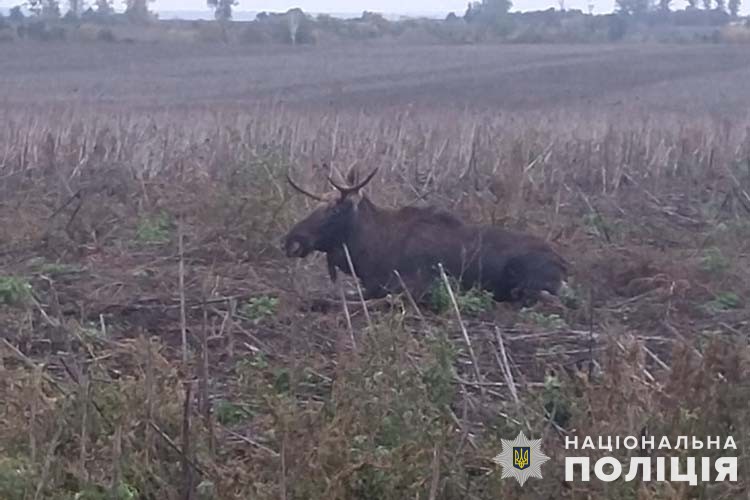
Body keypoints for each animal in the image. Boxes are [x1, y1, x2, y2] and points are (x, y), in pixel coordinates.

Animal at [284, 166, 568, 302]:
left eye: (334, 211)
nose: (291, 240)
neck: (368, 254)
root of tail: (564, 264)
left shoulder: (416, 286)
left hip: (527, 281)